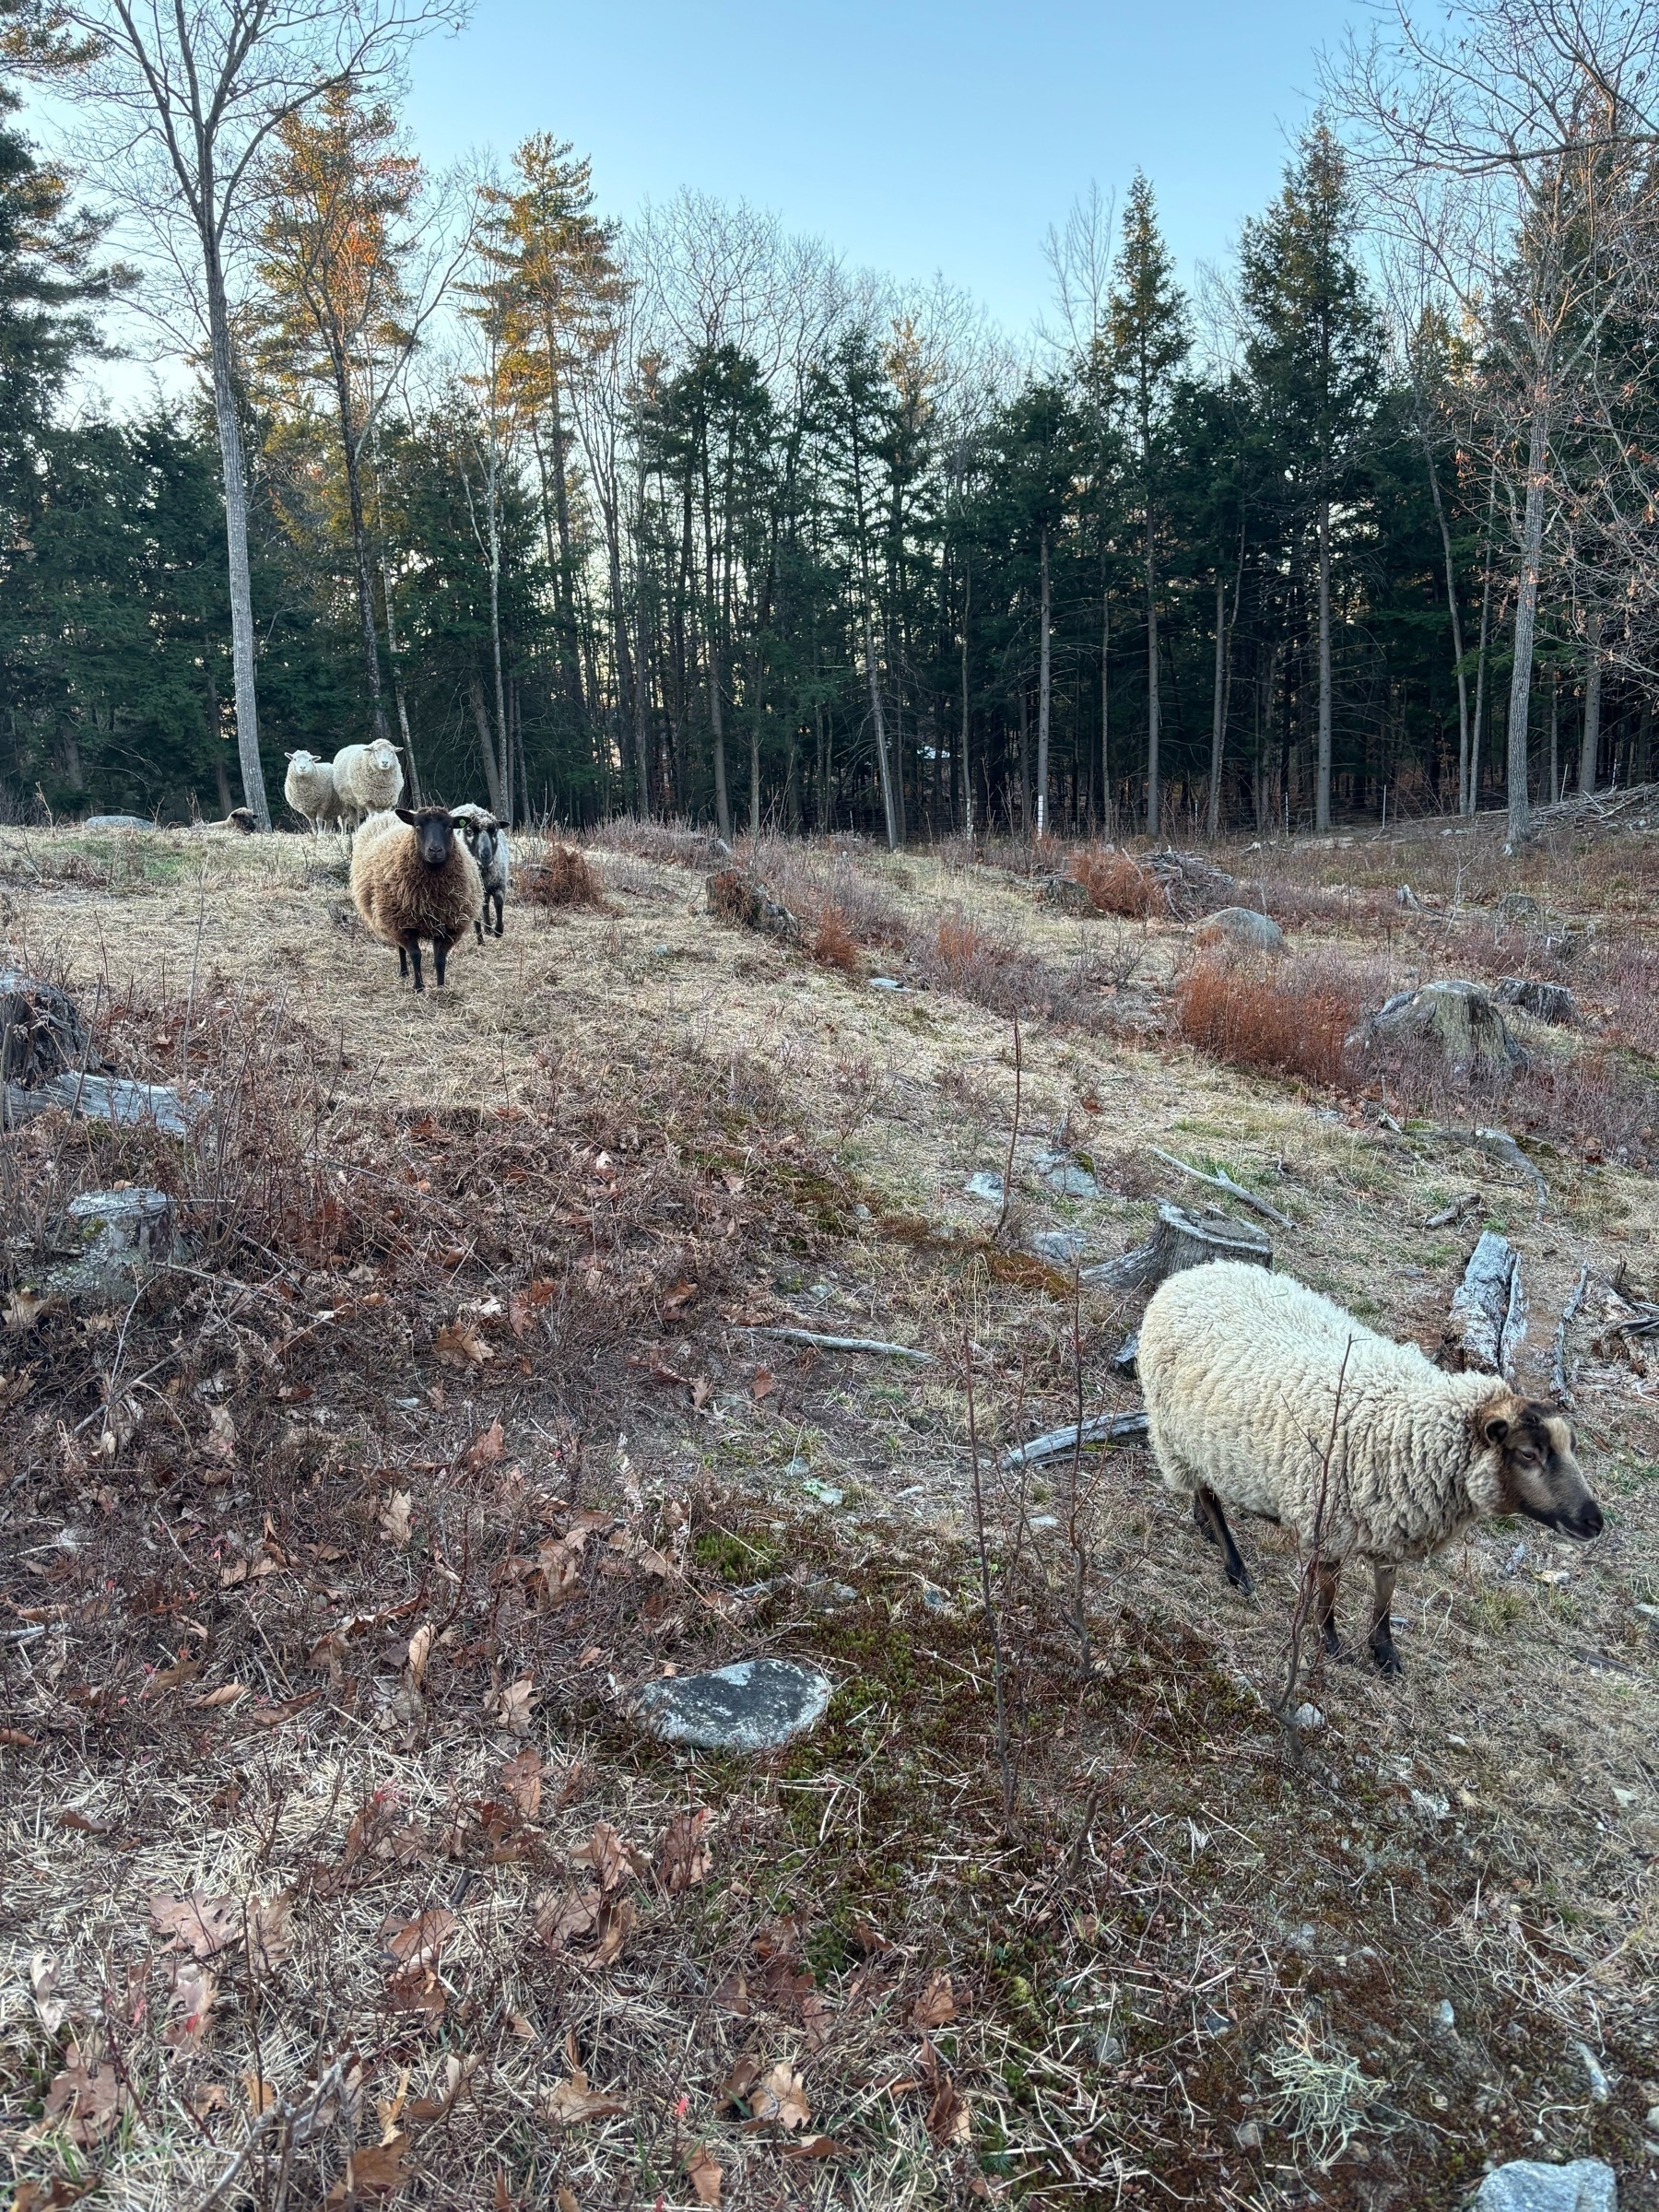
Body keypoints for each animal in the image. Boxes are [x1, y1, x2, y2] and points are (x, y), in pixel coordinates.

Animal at [1141, 1265, 1601, 1672]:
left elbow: (1385, 1595)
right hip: (1175, 1433)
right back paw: (1235, 1567)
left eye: (1572, 1447)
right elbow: (1329, 1591)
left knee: (1206, 1488)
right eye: (1527, 1454)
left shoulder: (1394, 1520)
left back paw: (1204, 1525)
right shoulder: (1329, 1522)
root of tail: (1192, 1273)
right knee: (1206, 1492)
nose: (1594, 1522)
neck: (1410, 1429)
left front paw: (1384, 1653)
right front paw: (1330, 1642)